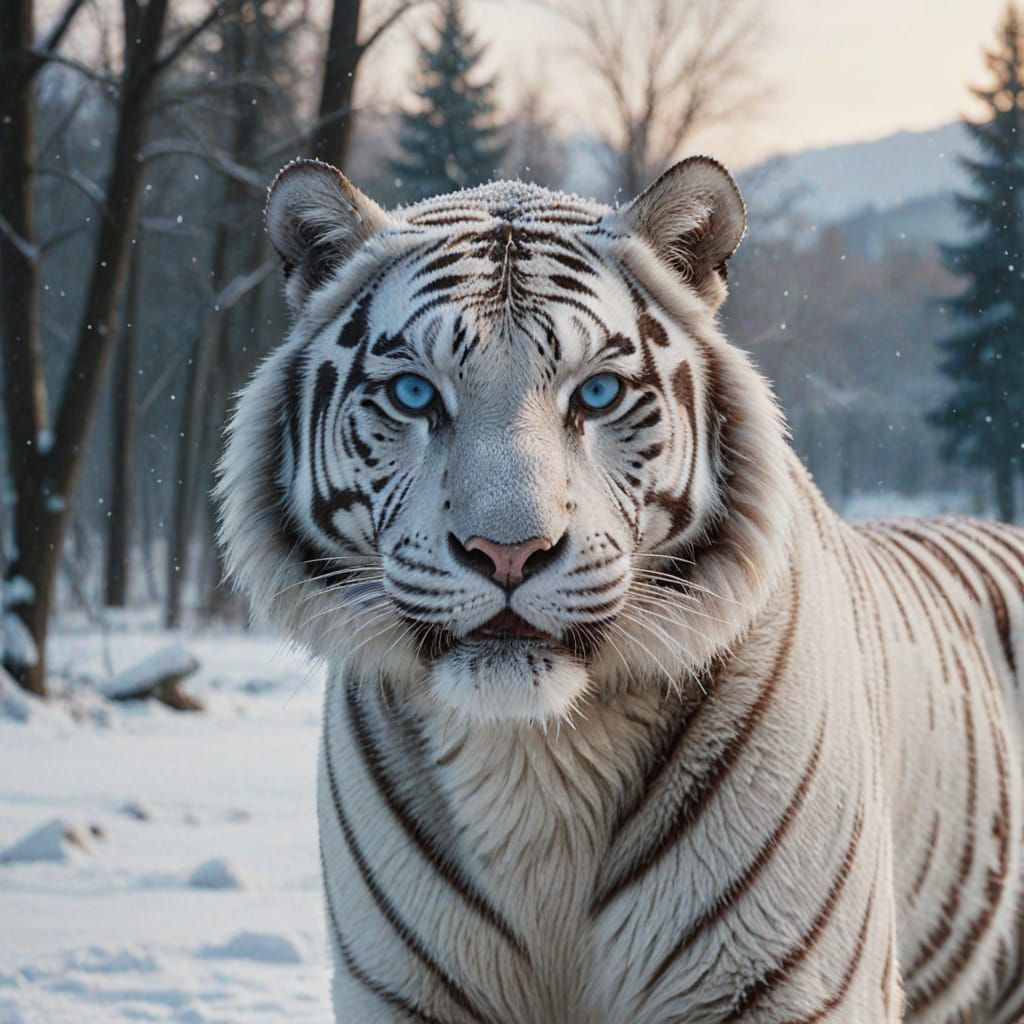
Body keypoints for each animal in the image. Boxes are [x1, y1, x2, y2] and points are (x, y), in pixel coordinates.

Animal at [216, 154, 1024, 1023]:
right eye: (414, 394)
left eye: (597, 394)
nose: (508, 552)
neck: (533, 759)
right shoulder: (402, 991)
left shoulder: (778, 983)